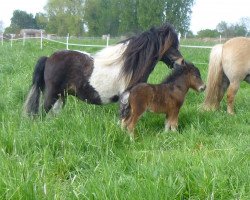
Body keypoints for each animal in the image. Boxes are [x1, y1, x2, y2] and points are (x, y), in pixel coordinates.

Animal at [23, 22, 185, 116]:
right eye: (171, 45)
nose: (182, 62)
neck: (130, 65)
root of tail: (48, 58)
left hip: (61, 96)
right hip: (52, 95)